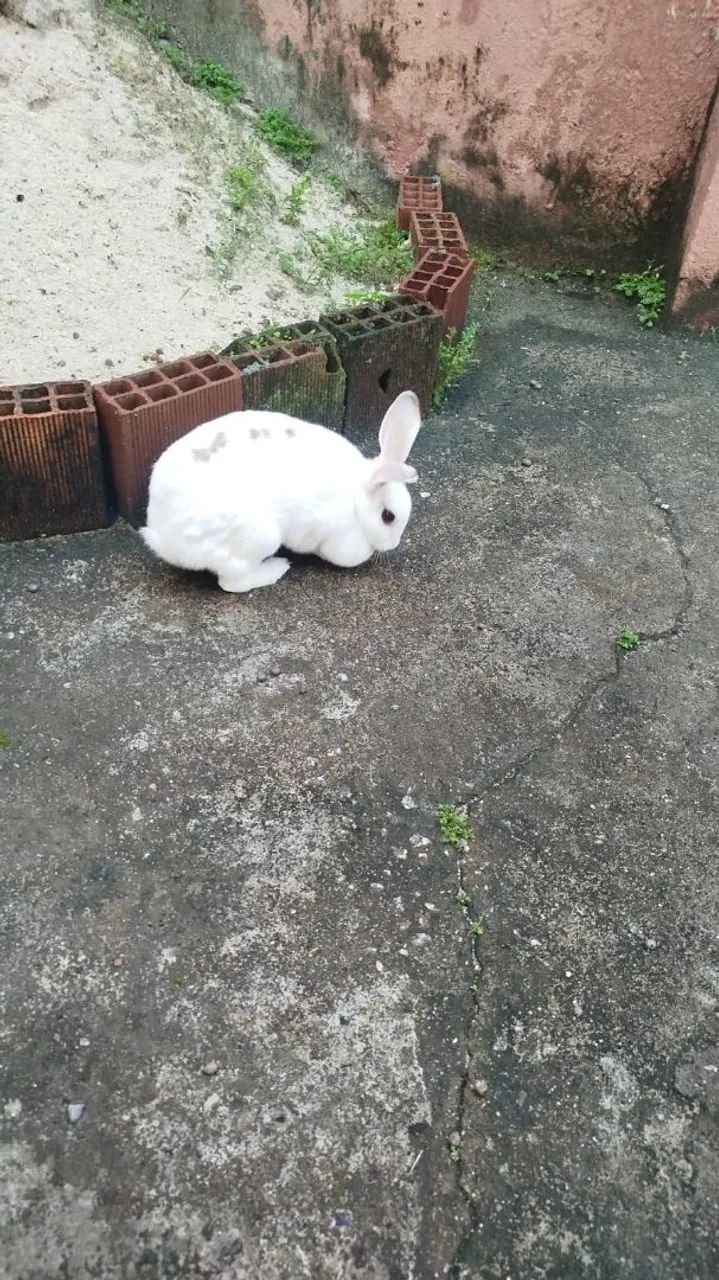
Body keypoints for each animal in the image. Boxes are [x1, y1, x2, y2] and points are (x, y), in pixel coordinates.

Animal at [139, 389, 421, 593]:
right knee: (231, 582)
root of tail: (163, 537)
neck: (357, 498)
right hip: (259, 536)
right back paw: (277, 568)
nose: (393, 545)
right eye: (388, 516)